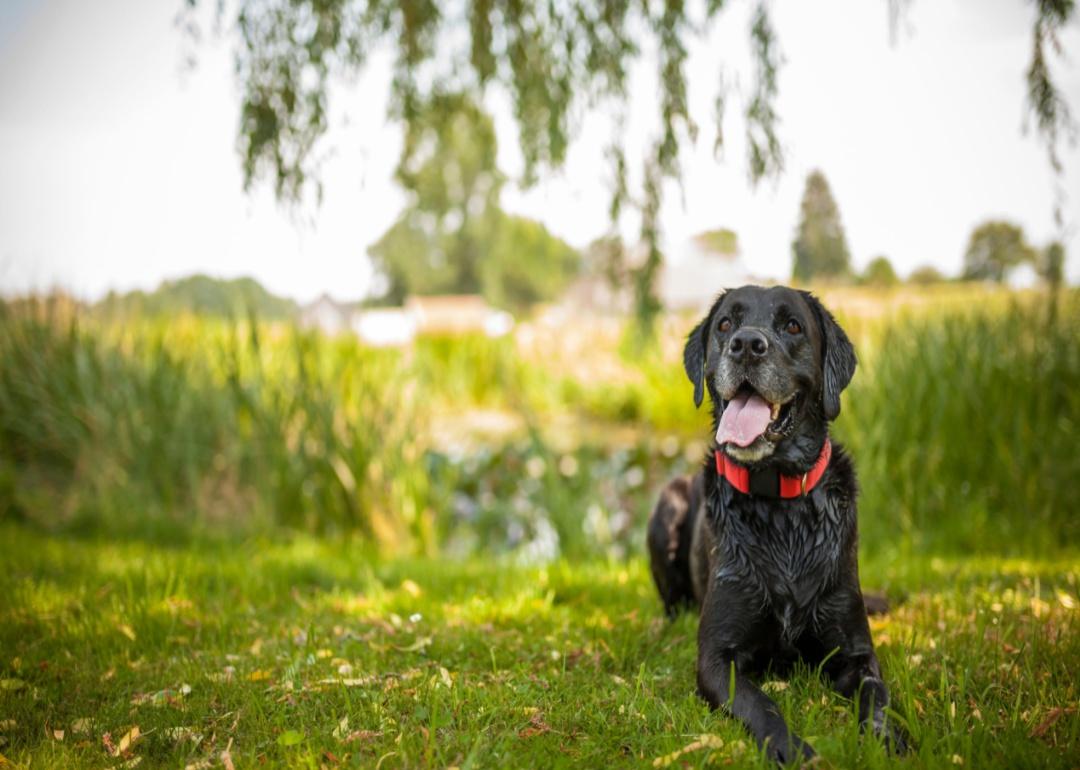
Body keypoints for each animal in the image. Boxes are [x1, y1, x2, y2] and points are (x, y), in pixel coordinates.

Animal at [648, 287, 902, 764]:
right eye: (725, 324)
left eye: (793, 326)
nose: (747, 345)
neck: (780, 506)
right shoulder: (717, 658)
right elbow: (760, 703)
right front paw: (794, 749)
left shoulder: (855, 651)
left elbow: (876, 696)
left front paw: (889, 738)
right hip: (664, 509)